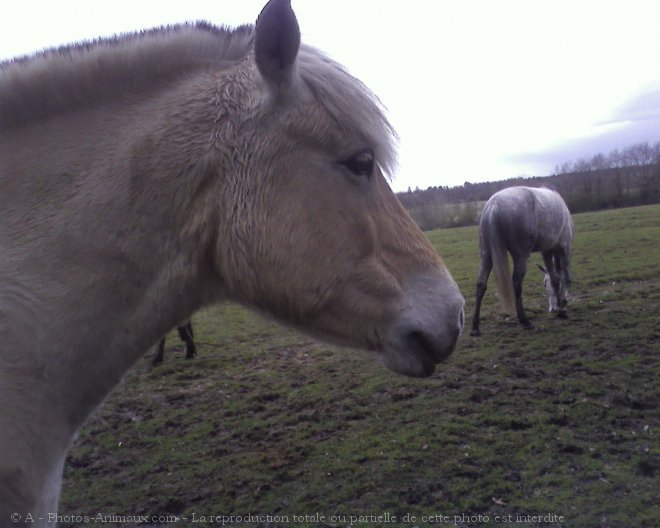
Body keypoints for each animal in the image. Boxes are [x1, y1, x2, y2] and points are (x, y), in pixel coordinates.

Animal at [470, 186, 572, 334]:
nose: (553, 308)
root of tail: (494, 204)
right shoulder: (564, 247)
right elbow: (564, 277)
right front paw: (562, 306)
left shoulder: (547, 251)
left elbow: (554, 278)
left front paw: (559, 306)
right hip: (521, 256)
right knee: (517, 283)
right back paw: (525, 321)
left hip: (486, 254)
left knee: (481, 285)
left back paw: (475, 328)